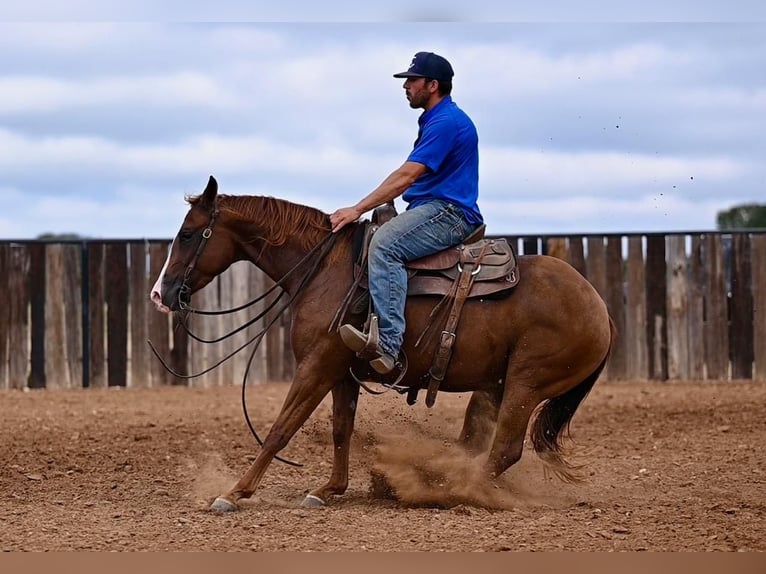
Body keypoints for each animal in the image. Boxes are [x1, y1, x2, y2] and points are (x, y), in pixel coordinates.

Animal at [150, 176, 616, 512]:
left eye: (188, 234)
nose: (160, 293)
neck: (327, 270)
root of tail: (600, 306)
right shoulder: (342, 371)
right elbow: (341, 428)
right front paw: (328, 489)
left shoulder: (317, 364)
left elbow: (281, 428)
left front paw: (234, 492)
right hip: (495, 385)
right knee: (480, 442)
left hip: (526, 382)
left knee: (504, 449)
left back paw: (455, 489)